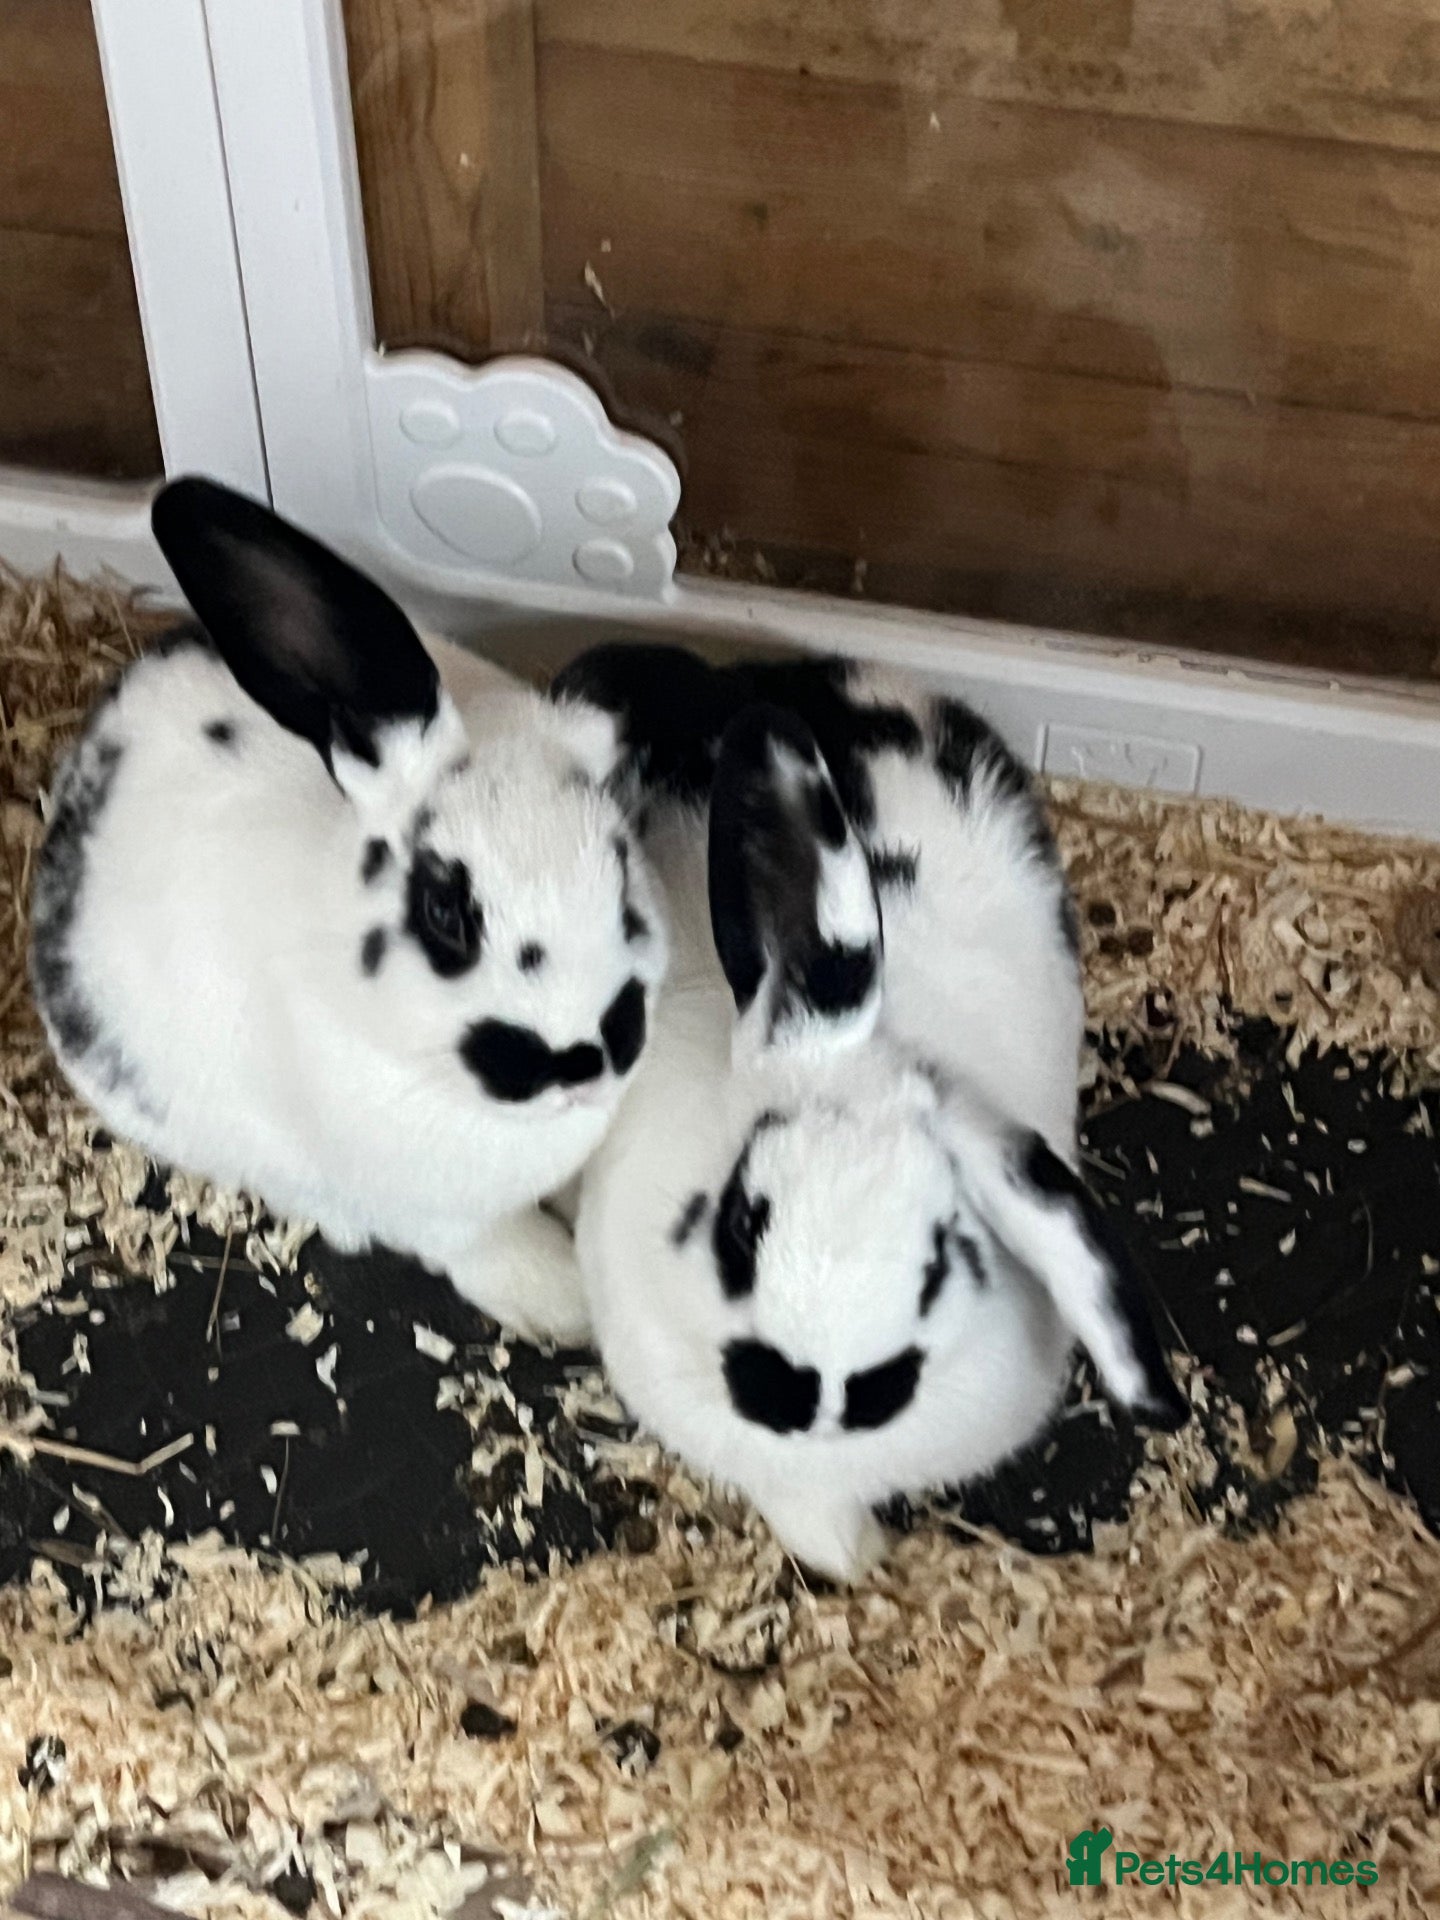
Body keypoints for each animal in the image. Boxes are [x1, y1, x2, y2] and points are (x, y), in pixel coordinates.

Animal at [29, 478, 667, 1344]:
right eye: (444, 913)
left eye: (622, 864)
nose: (585, 1059)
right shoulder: (438, 1217)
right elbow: (492, 1249)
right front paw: (565, 1303)